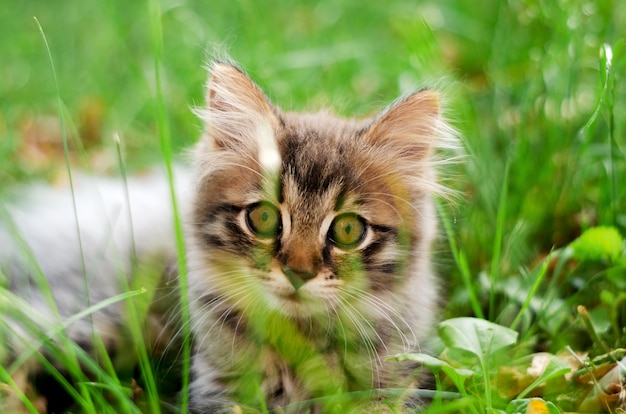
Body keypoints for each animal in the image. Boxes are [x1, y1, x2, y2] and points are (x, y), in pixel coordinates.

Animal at [1, 59, 454, 412]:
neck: (299, 345)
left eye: (347, 230)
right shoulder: (220, 387)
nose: (299, 273)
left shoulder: (393, 383)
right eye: (264, 218)